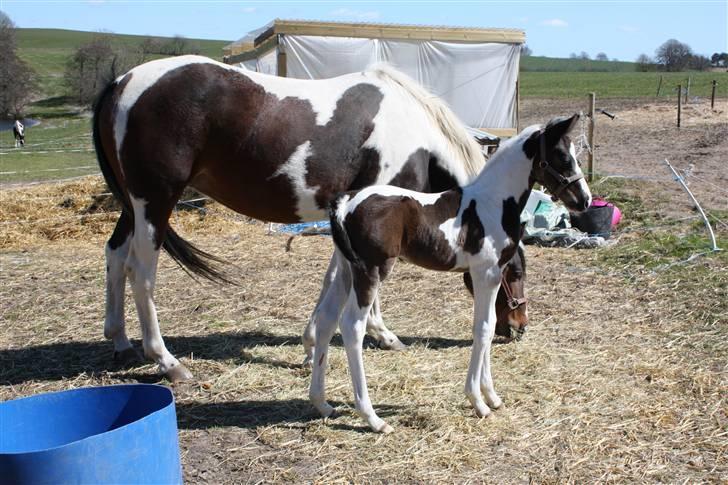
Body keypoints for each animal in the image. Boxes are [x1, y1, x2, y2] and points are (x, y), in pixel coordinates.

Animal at [92, 54, 490, 380]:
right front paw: (381, 335)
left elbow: (336, 277)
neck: (413, 131)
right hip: (155, 202)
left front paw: (315, 342)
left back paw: (120, 342)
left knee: (115, 255)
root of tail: (121, 82)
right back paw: (166, 360)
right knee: (141, 273)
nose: (505, 332)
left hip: (134, 205)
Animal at [308, 114, 592, 434]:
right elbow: (483, 329)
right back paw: (373, 418)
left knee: (327, 319)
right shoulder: (487, 273)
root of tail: (346, 202)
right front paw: (478, 401)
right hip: (370, 271)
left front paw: (492, 396)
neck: (493, 203)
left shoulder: (487, 277)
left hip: (346, 269)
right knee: (352, 326)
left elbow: (487, 325)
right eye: (562, 157)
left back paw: (322, 403)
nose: (584, 200)